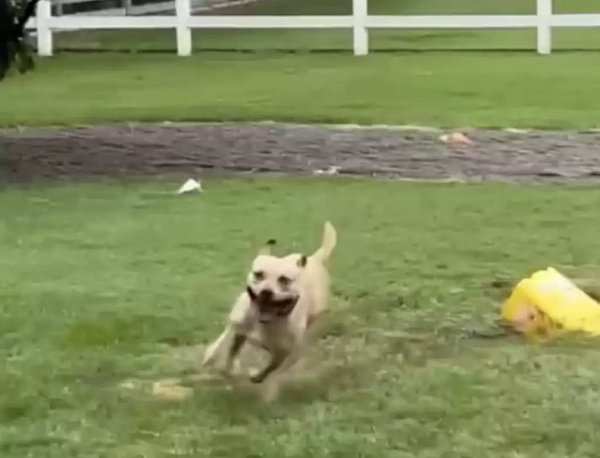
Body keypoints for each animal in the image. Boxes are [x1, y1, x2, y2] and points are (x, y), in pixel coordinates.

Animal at [203, 221, 338, 400]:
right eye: (259, 274)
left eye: (285, 280)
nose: (266, 291)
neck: (267, 323)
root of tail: (314, 259)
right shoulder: (239, 326)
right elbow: (228, 344)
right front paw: (219, 362)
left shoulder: (289, 353)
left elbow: (273, 369)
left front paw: (262, 383)